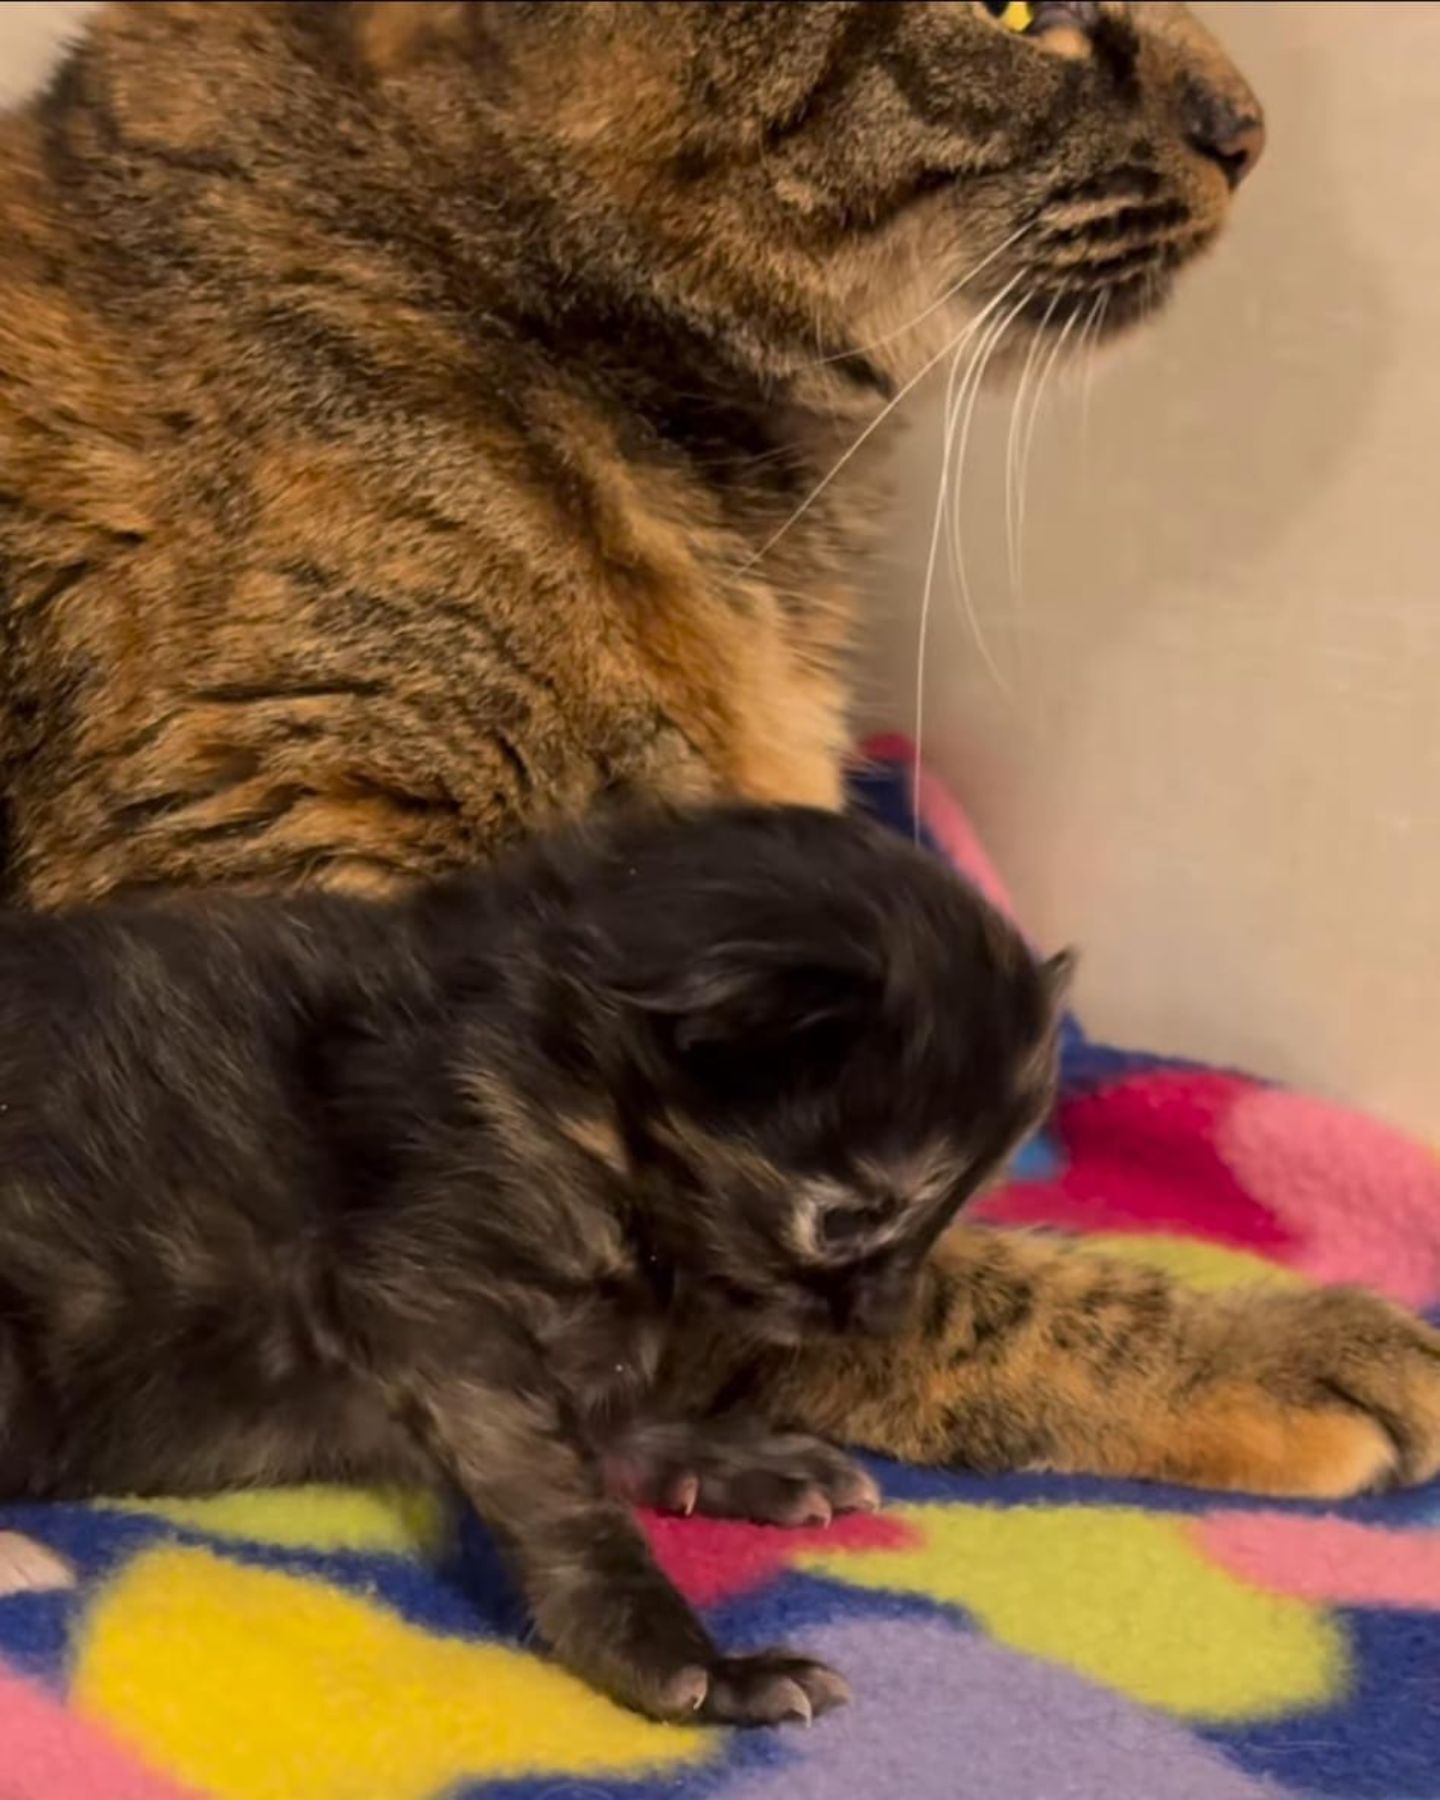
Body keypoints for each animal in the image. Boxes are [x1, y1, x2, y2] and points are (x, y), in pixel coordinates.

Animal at [0, 806, 1058, 1728]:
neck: (566, 1067)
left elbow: (600, 1414)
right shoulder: (431, 1294)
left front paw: (728, 1457)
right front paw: (693, 1667)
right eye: (854, 1218)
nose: (886, 1317)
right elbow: (565, 1496)